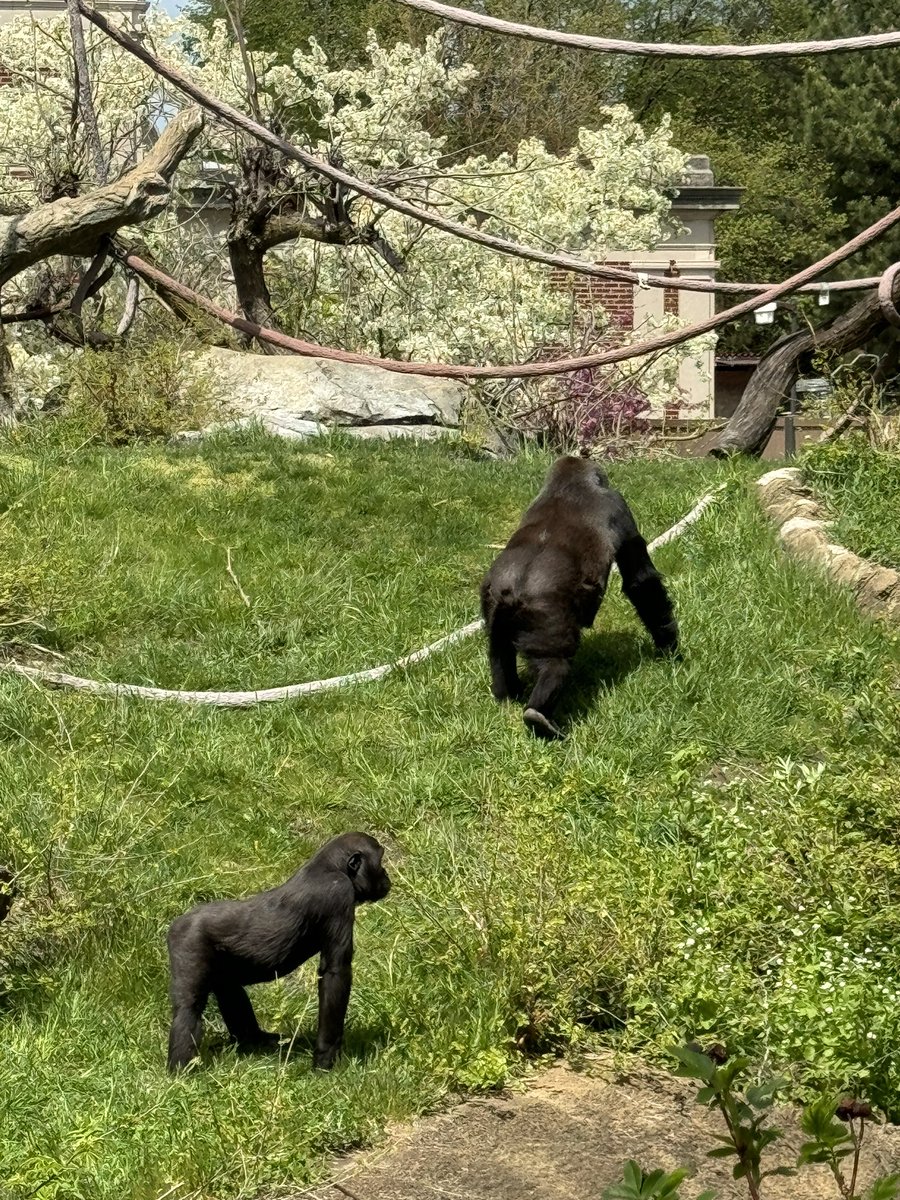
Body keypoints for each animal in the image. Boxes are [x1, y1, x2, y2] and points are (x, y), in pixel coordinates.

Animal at [168, 830, 391, 1075]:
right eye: (380, 861)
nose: (387, 877)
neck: (332, 865)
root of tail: (176, 923)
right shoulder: (338, 893)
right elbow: (335, 974)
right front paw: (325, 1059)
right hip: (188, 940)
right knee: (189, 1008)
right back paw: (180, 1071)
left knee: (227, 986)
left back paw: (254, 1040)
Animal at [480, 456, 676, 739]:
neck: (566, 486)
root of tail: (510, 591)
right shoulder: (618, 504)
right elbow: (641, 582)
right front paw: (669, 644)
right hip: (544, 616)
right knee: (556, 664)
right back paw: (538, 717)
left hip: (492, 606)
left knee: (498, 651)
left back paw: (507, 695)